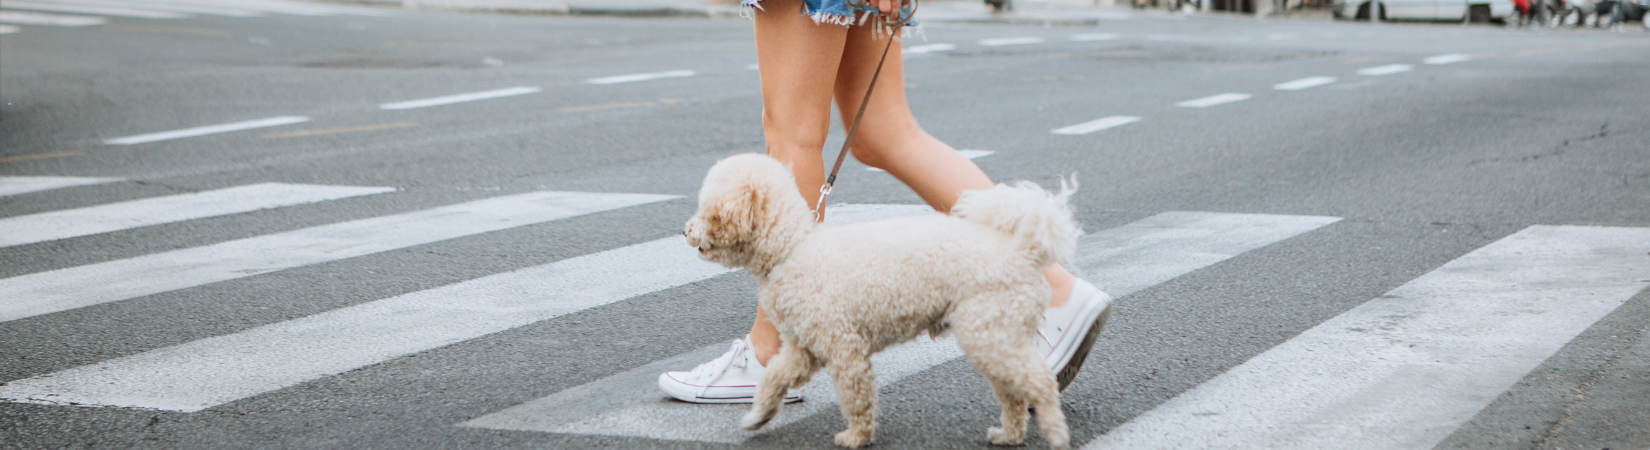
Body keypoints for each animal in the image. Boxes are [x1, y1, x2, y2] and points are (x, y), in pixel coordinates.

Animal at [683, 154, 1082, 448]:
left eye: (705, 208)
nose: (684, 230)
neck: (791, 248)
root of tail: (1022, 251)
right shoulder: (804, 348)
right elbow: (773, 378)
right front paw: (758, 416)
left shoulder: (844, 347)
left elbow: (856, 397)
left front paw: (857, 437)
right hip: (992, 336)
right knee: (1013, 394)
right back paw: (1009, 435)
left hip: (989, 331)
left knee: (1041, 382)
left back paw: (1056, 433)